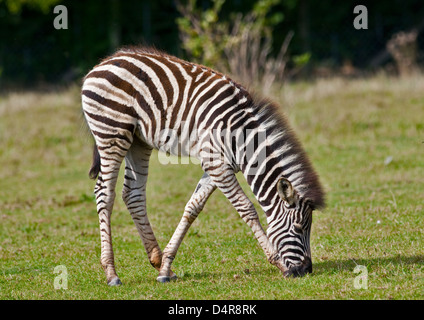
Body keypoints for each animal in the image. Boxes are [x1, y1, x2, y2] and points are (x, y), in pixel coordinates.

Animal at [82, 46, 324, 284]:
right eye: (299, 228)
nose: (306, 270)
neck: (242, 139)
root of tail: (102, 64)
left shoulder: (217, 165)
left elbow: (193, 207)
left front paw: (166, 268)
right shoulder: (217, 165)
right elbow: (246, 208)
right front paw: (279, 262)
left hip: (138, 141)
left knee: (132, 194)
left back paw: (157, 260)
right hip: (112, 133)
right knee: (104, 193)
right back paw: (111, 273)